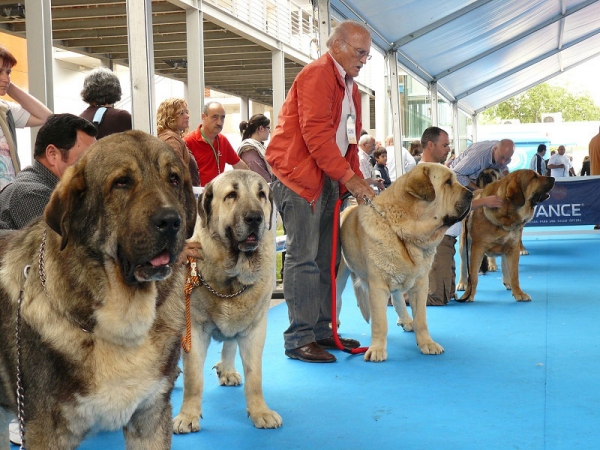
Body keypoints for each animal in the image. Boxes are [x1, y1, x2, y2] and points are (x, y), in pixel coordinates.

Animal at [172, 170, 282, 436]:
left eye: (261, 194)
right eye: (231, 195)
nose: (255, 217)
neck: (232, 278)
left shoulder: (254, 329)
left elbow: (254, 376)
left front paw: (260, 412)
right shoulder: (194, 330)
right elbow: (193, 379)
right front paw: (188, 415)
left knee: (229, 344)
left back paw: (228, 369)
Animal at [460, 169, 552, 302]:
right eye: (534, 177)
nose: (553, 178)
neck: (507, 216)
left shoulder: (513, 247)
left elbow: (514, 274)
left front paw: (518, 293)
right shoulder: (477, 249)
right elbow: (473, 276)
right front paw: (468, 295)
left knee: (505, 265)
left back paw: (507, 282)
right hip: (464, 245)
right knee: (463, 265)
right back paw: (462, 283)